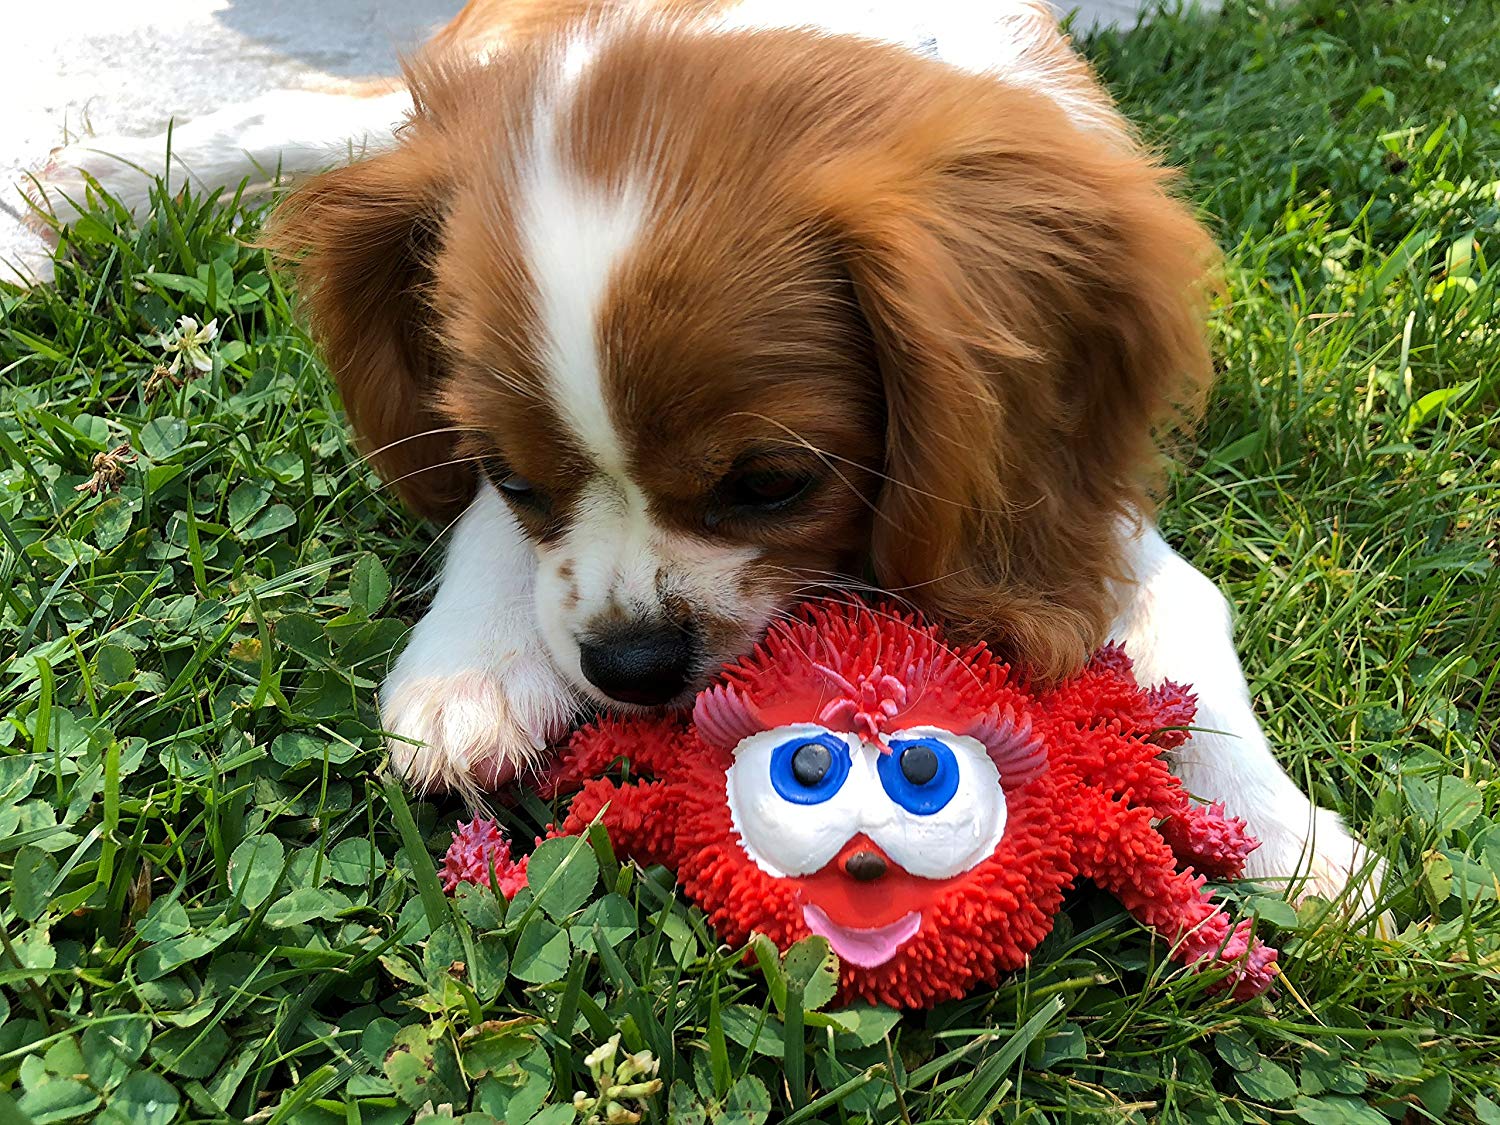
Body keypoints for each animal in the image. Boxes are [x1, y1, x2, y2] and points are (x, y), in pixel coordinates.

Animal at [32, 0, 1380, 912]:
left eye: (773, 484)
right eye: (516, 479)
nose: (631, 665)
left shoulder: (1072, 491)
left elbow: (1181, 622)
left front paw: (1288, 842)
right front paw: (476, 662)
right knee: (331, 122)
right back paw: (99, 180)